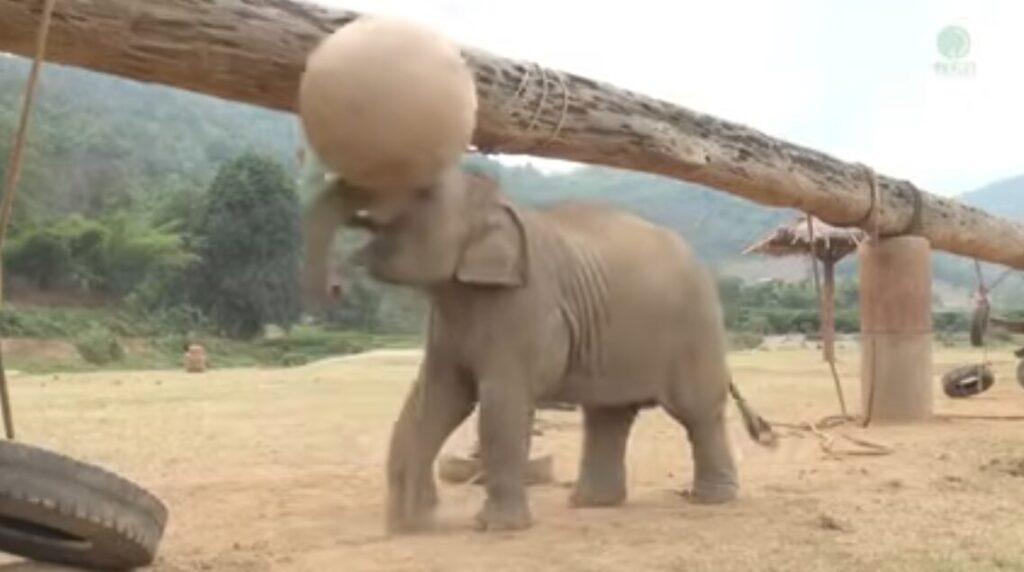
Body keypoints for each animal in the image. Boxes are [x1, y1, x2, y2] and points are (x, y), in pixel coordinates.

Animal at [302, 163, 776, 533]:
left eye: (422, 190)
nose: (336, 288)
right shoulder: (448, 322)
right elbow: (436, 399)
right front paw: (411, 525)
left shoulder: (521, 308)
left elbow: (500, 404)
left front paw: (494, 528)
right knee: (608, 415)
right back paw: (592, 504)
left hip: (695, 329)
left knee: (696, 413)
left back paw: (711, 500)